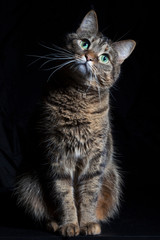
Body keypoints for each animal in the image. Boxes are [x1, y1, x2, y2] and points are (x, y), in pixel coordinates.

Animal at [15, 9, 136, 236]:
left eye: (104, 58)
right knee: (43, 212)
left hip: (112, 177)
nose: (88, 57)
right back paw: (54, 223)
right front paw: (70, 224)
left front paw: (86, 223)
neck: (78, 97)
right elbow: (64, 197)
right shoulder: (57, 156)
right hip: (27, 182)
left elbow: (88, 197)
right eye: (85, 43)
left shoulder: (95, 159)